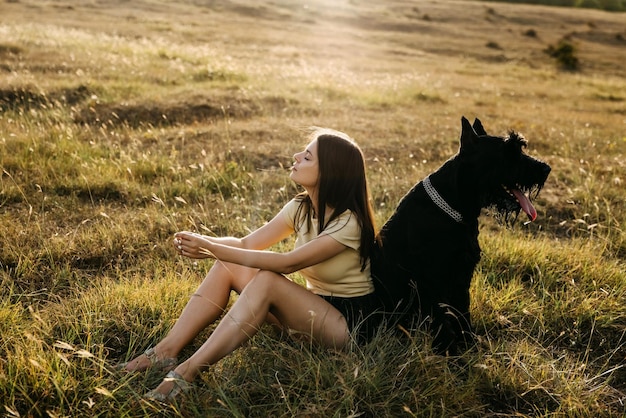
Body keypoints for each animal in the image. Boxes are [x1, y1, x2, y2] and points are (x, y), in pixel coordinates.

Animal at [368, 116, 548, 354]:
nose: (546, 169)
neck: (455, 204)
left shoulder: (461, 277)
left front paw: (469, 345)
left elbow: (462, 314)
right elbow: (442, 321)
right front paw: (452, 353)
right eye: (509, 152)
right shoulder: (432, 282)